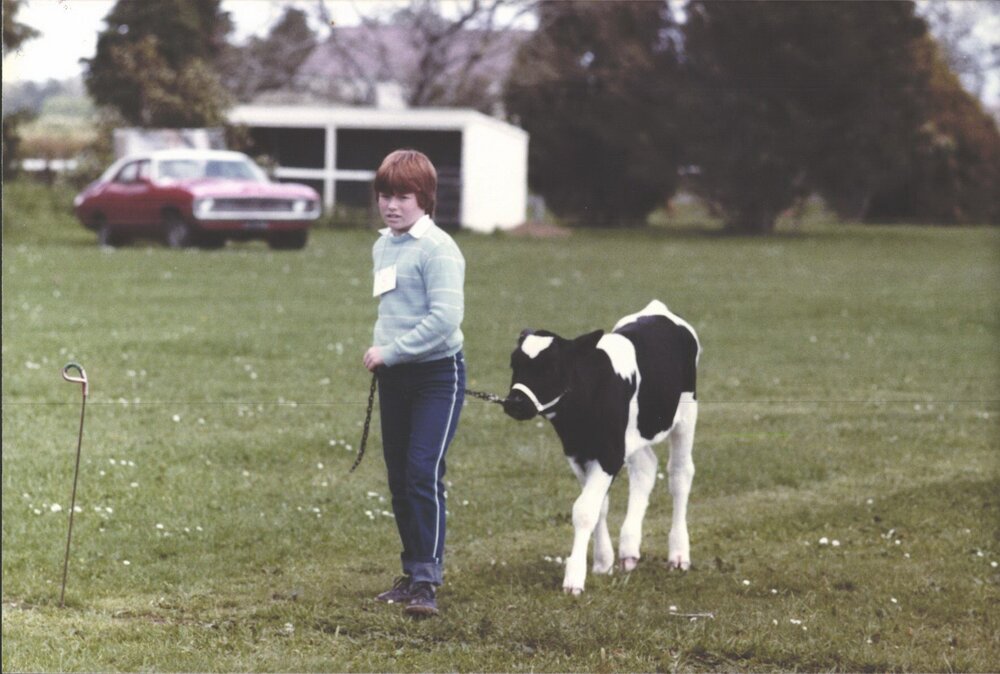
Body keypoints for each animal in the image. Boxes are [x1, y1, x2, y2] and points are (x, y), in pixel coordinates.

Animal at [502, 300, 701, 595]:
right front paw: (602, 561)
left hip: (686, 415)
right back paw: (629, 550)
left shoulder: (609, 453)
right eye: (514, 364)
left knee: (680, 475)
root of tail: (659, 309)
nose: (515, 402)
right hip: (633, 434)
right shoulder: (579, 452)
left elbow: (585, 510)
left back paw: (678, 555)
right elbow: (600, 506)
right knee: (646, 468)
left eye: (551, 367)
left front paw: (574, 578)